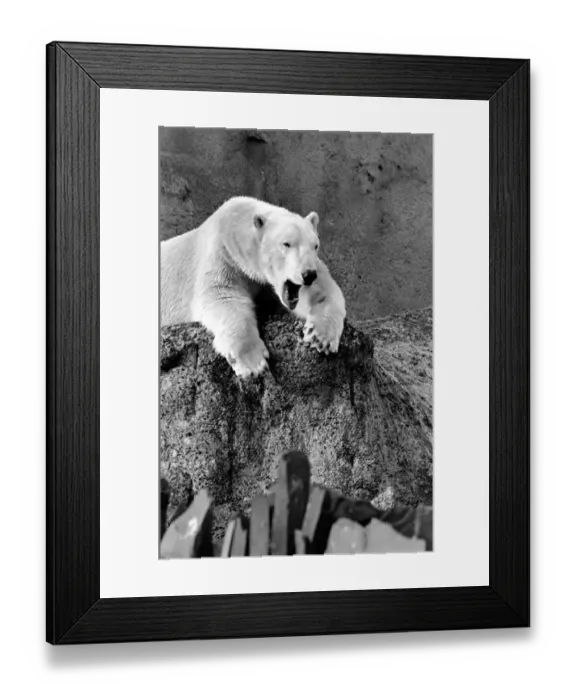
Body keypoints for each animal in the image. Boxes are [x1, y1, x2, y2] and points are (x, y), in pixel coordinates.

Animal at [160, 196, 346, 379]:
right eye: (286, 244)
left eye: (315, 245)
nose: (308, 275)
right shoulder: (223, 254)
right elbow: (223, 295)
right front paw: (253, 363)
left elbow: (322, 289)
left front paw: (320, 337)